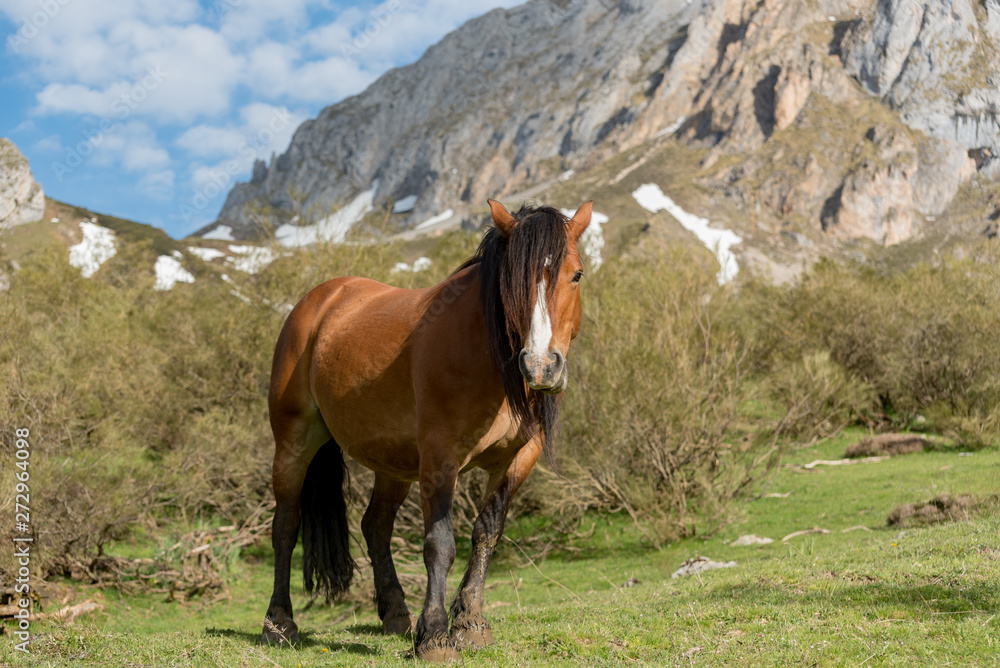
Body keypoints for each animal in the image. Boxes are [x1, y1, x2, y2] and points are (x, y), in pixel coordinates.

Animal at [262, 196, 596, 660]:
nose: (541, 367)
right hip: (293, 441)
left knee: (375, 526)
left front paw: (470, 622)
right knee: (286, 525)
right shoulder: (440, 458)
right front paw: (435, 635)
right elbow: (440, 543)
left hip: (393, 461)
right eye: (510, 283)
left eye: (576, 274)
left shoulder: (518, 459)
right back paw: (279, 623)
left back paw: (395, 615)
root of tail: (319, 299)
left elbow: (487, 532)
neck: (486, 359)